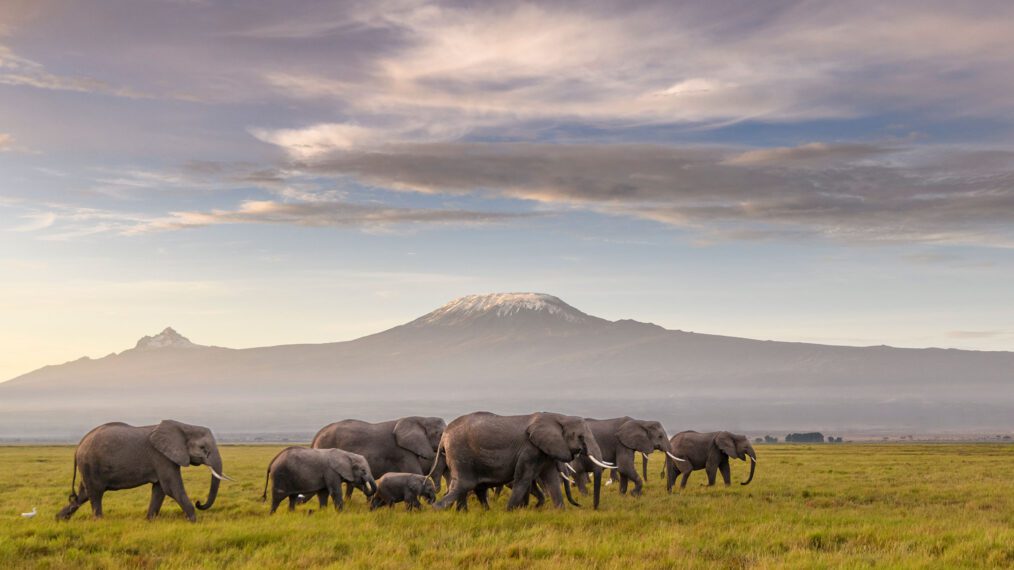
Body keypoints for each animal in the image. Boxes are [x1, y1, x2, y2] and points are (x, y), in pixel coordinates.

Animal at [56, 417, 232, 519]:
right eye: (203, 448)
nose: (199, 502)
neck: (184, 426)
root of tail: (78, 445)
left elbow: (160, 490)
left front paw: (149, 520)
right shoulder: (162, 457)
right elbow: (172, 488)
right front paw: (193, 521)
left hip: (88, 467)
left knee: (83, 494)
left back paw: (59, 519)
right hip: (90, 464)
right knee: (95, 493)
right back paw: (99, 521)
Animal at [433, 407, 612, 511]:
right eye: (580, 437)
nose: (589, 507)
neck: (559, 417)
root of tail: (444, 436)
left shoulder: (543, 451)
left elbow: (551, 479)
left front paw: (560, 512)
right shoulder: (529, 450)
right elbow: (523, 479)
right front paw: (510, 511)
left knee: (469, 486)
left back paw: (469, 512)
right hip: (460, 453)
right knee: (464, 484)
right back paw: (438, 509)